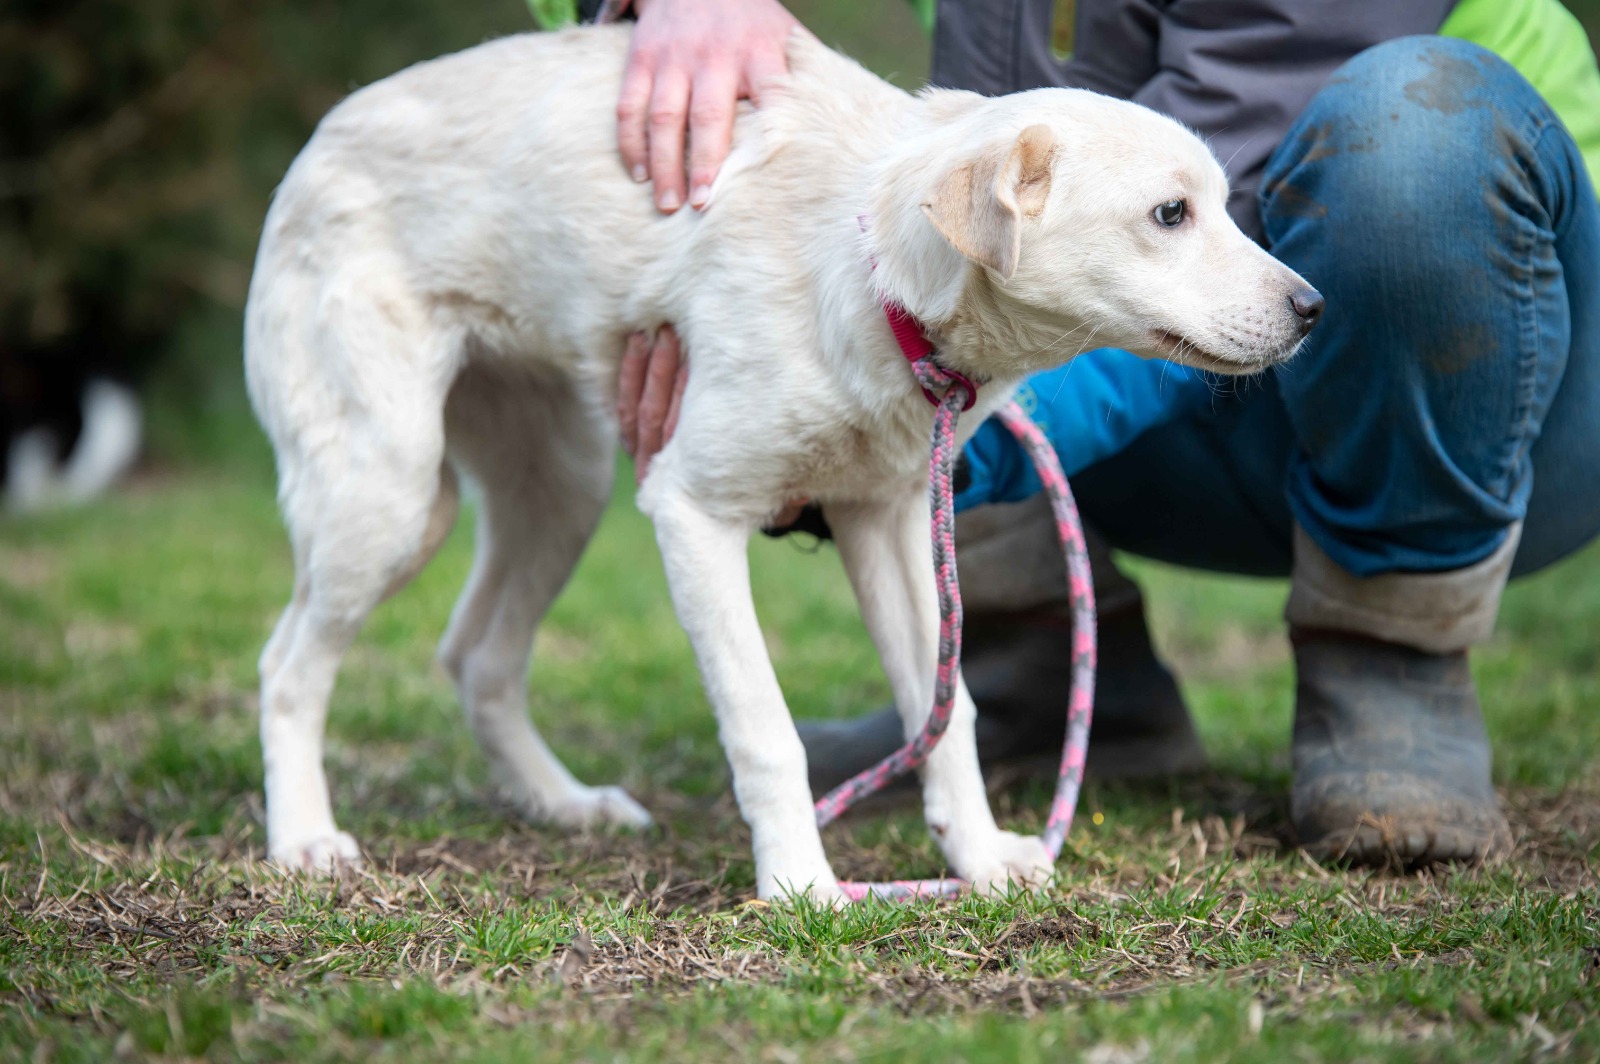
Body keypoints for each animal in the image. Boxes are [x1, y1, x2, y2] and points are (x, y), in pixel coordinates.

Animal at [244, 24, 1321, 901]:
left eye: (1221, 205)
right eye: (1171, 214)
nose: (1315, 309)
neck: (872, 268)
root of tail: (320, 137)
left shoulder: (890, 523)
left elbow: (950, 714)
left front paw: (976, 859)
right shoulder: (691, 510)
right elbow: (766, 730)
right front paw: (802, 884)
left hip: (558, 487)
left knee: (478, 655)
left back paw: (563, 804)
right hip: (388, 491)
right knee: (288, 663)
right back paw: (304, 839)